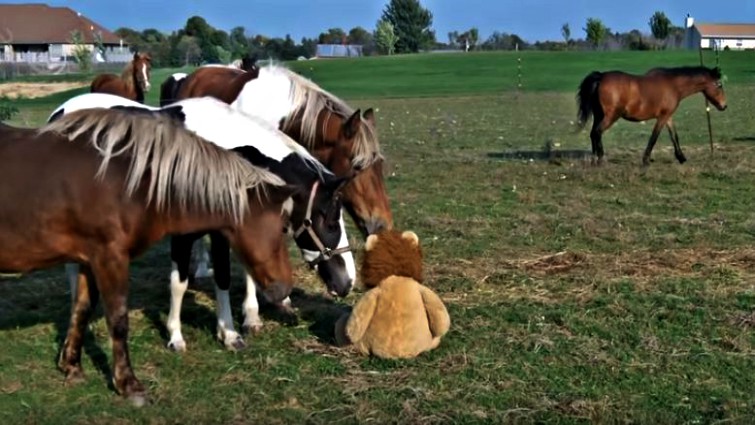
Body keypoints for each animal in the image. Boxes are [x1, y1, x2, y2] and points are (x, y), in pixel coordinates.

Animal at [0, 107, 300, 405]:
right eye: (284, 226)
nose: (285, 289)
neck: (124, 181)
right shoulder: (109, 257)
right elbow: (118, 320)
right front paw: (128, 384)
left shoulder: (87, 258)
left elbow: (81, 309)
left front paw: (72, 366)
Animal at [49, 93, 356, 351]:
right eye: (328, 219)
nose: (348, 283)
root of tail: (60, 112)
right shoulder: (183, 235)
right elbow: (179, 283)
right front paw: (175, 336)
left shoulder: (228, 230)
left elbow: (227, 276)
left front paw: (232, 331)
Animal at [576, 66, 727, 166]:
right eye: (719, 84)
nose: (724, 106)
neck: (674, 85)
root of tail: (601, 77)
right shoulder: (662, 117)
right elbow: (654, 137)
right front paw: (646, 160)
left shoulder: (668, 116)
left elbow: (674, 136)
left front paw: (681, 157)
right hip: (610, 116)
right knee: (597, 132)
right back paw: (601, 159)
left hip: (599, 115)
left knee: (592, 133)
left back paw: (594, 159)